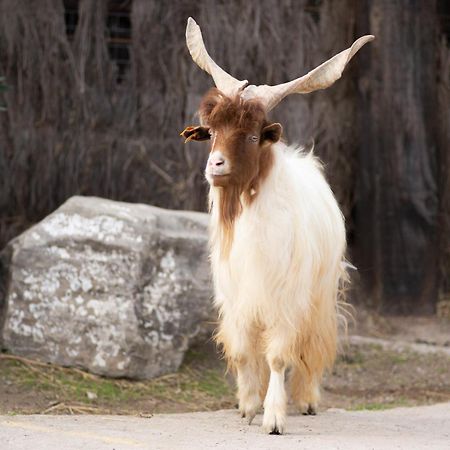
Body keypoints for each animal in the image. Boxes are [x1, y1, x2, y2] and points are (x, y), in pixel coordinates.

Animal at [181, 18, 374, 436]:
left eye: (253, 136)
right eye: (212, 132)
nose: (215, 165)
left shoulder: (285, 300)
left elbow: (278, 358)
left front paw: (273, 418)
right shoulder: (236, 299)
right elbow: (242, 353)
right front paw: (248, 405)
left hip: (318, 294)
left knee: (312, 344)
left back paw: (307, 399)